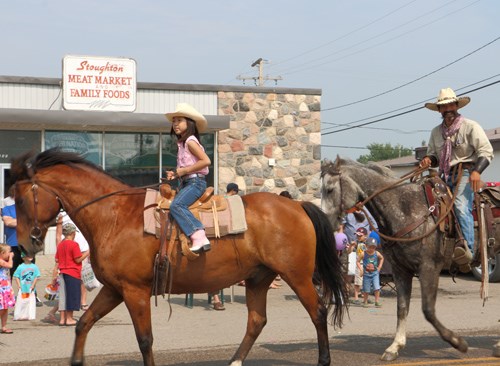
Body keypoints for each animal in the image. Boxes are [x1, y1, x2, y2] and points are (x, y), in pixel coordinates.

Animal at [11, 149, 348, 366]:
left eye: (22, 198)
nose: (25, 243)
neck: (114, 216)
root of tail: (297, 205)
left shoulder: (134, 291)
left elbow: (145, 340)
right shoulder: (115, 289)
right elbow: (83, 324)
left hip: (297, 275)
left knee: (318, 312)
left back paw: (323, 359)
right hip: (258, 278)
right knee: (256, 321)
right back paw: (235, 361)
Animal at [320, 157, 500, 360]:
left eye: (329, 189)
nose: (325, 222)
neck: (405, 209)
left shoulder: (429, 268)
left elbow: (428, 310)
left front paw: (458, 342)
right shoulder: (401, 270)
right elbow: (402, 307)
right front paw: (394, 347)